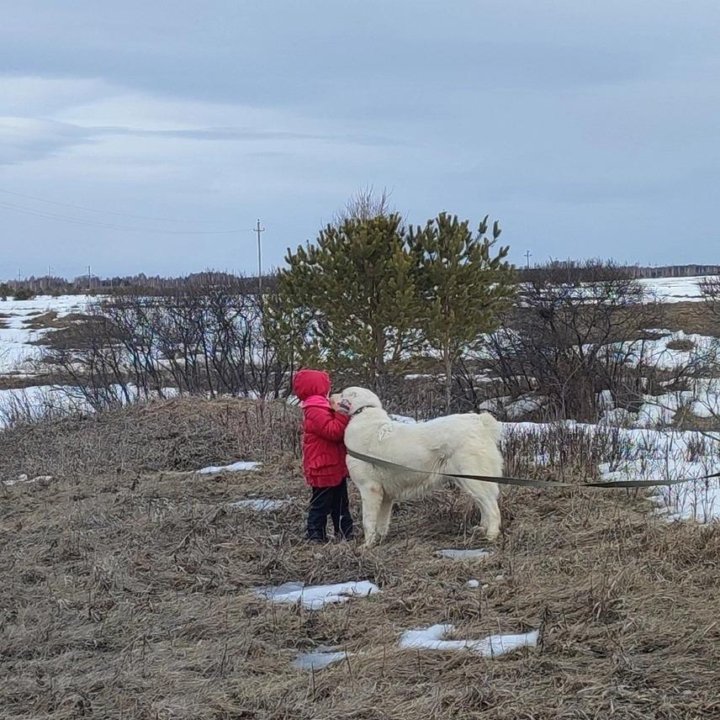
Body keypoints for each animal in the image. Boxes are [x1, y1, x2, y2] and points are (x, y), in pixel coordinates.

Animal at [336, 388, 500, 544]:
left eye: (342, 394)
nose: (331, 395)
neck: (363, 412)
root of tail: (480, 421)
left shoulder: (369, 488)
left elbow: (368, 521)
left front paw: (367, 545)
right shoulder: (385, 496)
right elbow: (382, 523)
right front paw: (379, 541)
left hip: (473, 478)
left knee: (491, 507)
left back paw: (491, 535)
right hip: (466, 479)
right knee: (483, 504)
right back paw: (482, 529)